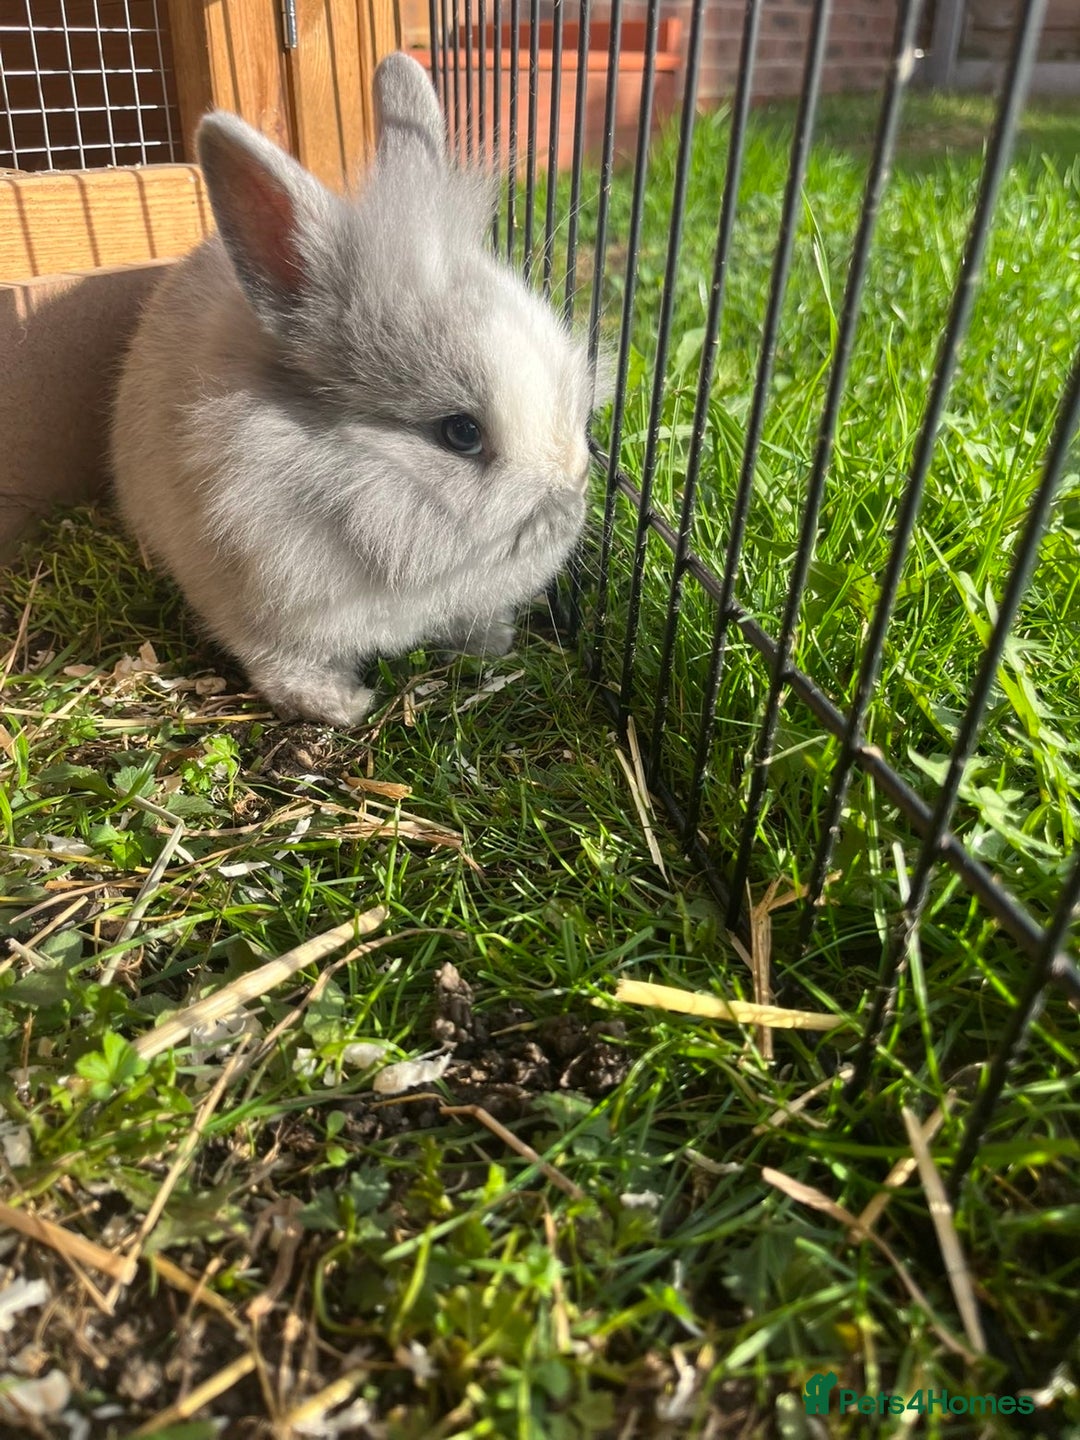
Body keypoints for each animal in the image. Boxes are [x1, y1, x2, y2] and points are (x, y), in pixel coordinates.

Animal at [111, 52, 597, 727]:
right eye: (461, 433)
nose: (573, 496)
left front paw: (492, 645)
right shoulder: (262, 610)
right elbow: (284, 666)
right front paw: (342, 706)